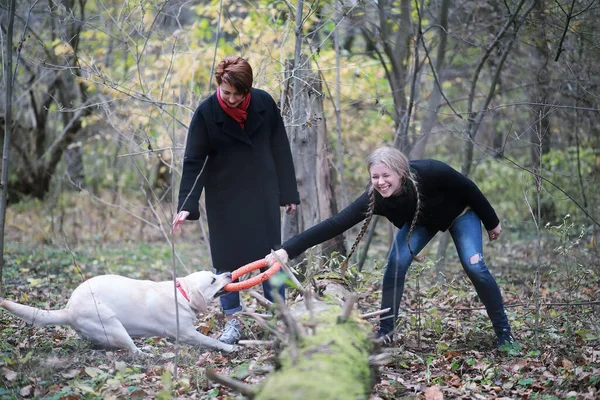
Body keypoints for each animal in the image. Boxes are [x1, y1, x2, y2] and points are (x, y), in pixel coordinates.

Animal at [0, 272, 234, 354]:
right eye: (213, 280)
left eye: (214, 273)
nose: (230, 273)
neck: (183, 293)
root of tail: (69, 310)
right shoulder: (186, 333)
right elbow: (211, 340)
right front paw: (229, 347)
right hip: (113, 324)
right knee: (133, 351)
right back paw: (145, 352)